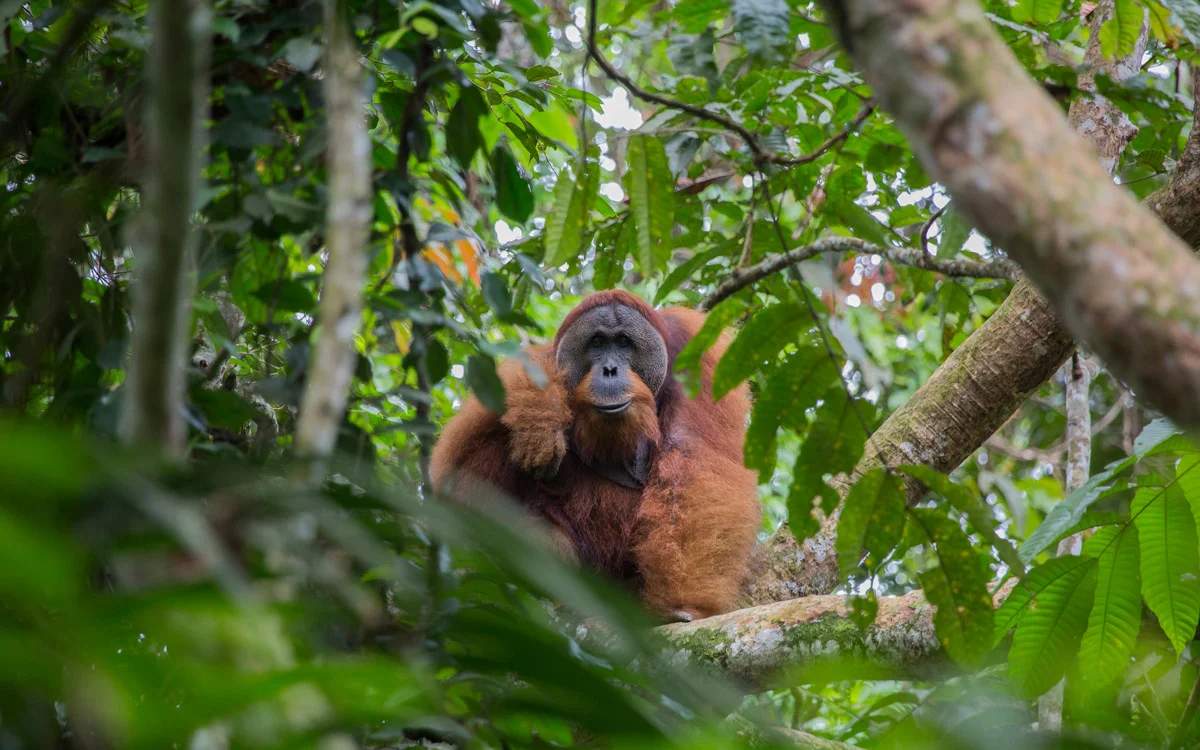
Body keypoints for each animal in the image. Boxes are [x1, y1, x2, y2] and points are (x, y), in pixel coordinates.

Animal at [430, 290, 760, 621]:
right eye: (598, 342)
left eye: (624, 342)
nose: (610, 370)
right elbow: (457, 460)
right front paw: (541, 413)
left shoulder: (699, 354)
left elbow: (690, 455)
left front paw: (682, 607)